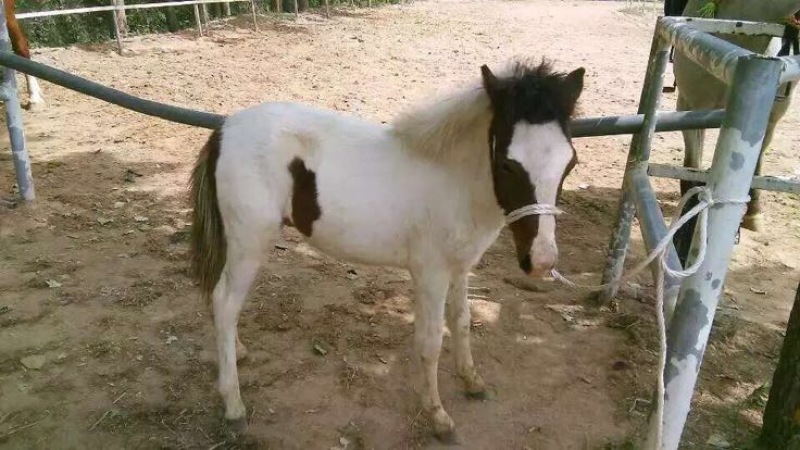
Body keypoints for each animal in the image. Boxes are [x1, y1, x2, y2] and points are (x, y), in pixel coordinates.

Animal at [188, 59, 585, 440]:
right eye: (506, 163)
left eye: (570, 162)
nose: (541, 261)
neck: (454, 182)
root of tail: (225, 128)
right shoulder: (430, 275)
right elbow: (430, 341)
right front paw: (438, 417)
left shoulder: (461, 267)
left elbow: (462, 322)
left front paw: (473, 382)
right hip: (249, 242)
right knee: (225, 301)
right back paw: (234, 407)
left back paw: (237, 352)